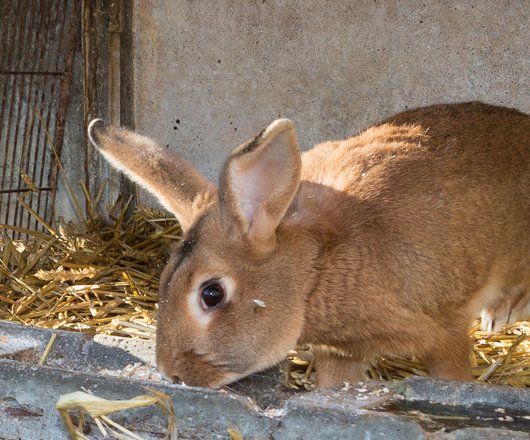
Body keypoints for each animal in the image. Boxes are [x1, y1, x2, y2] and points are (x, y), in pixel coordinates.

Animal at [87, 100, 528, 388]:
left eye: (211, 294)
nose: (172, 374)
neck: (313, 273)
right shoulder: (344, 351)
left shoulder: (444, 331)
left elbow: (452, 374)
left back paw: (500, 315)